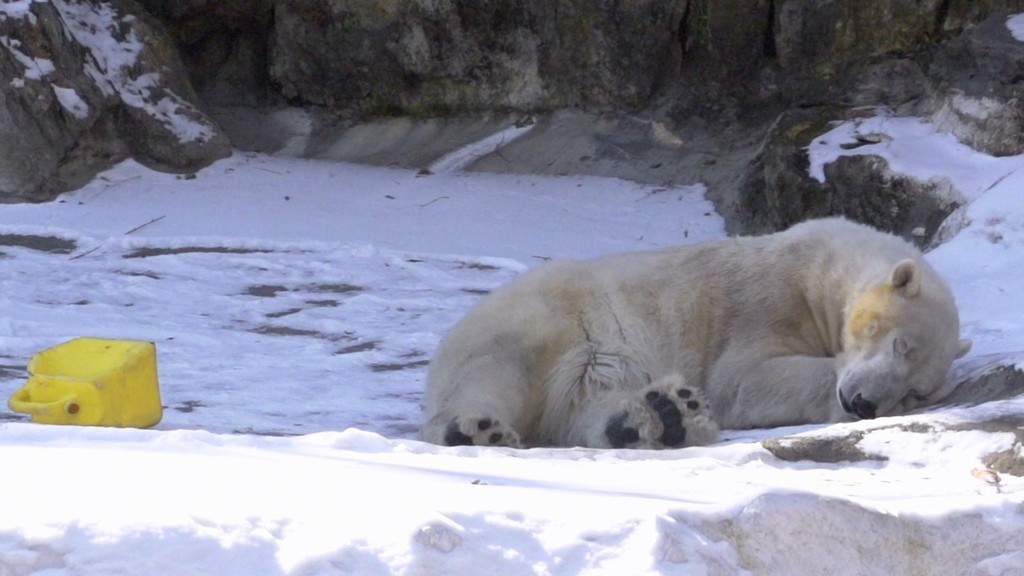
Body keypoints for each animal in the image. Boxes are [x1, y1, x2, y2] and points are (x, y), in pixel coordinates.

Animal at [419, 217, 970, 446]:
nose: (864, 403)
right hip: (542, 318)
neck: (824, 268)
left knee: (589, 402)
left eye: (917, 390)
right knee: (496, 372)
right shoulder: (766, 298)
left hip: (592, 358)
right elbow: (745, 377)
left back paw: (661, 417)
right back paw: (476, 429)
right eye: (896, 342)